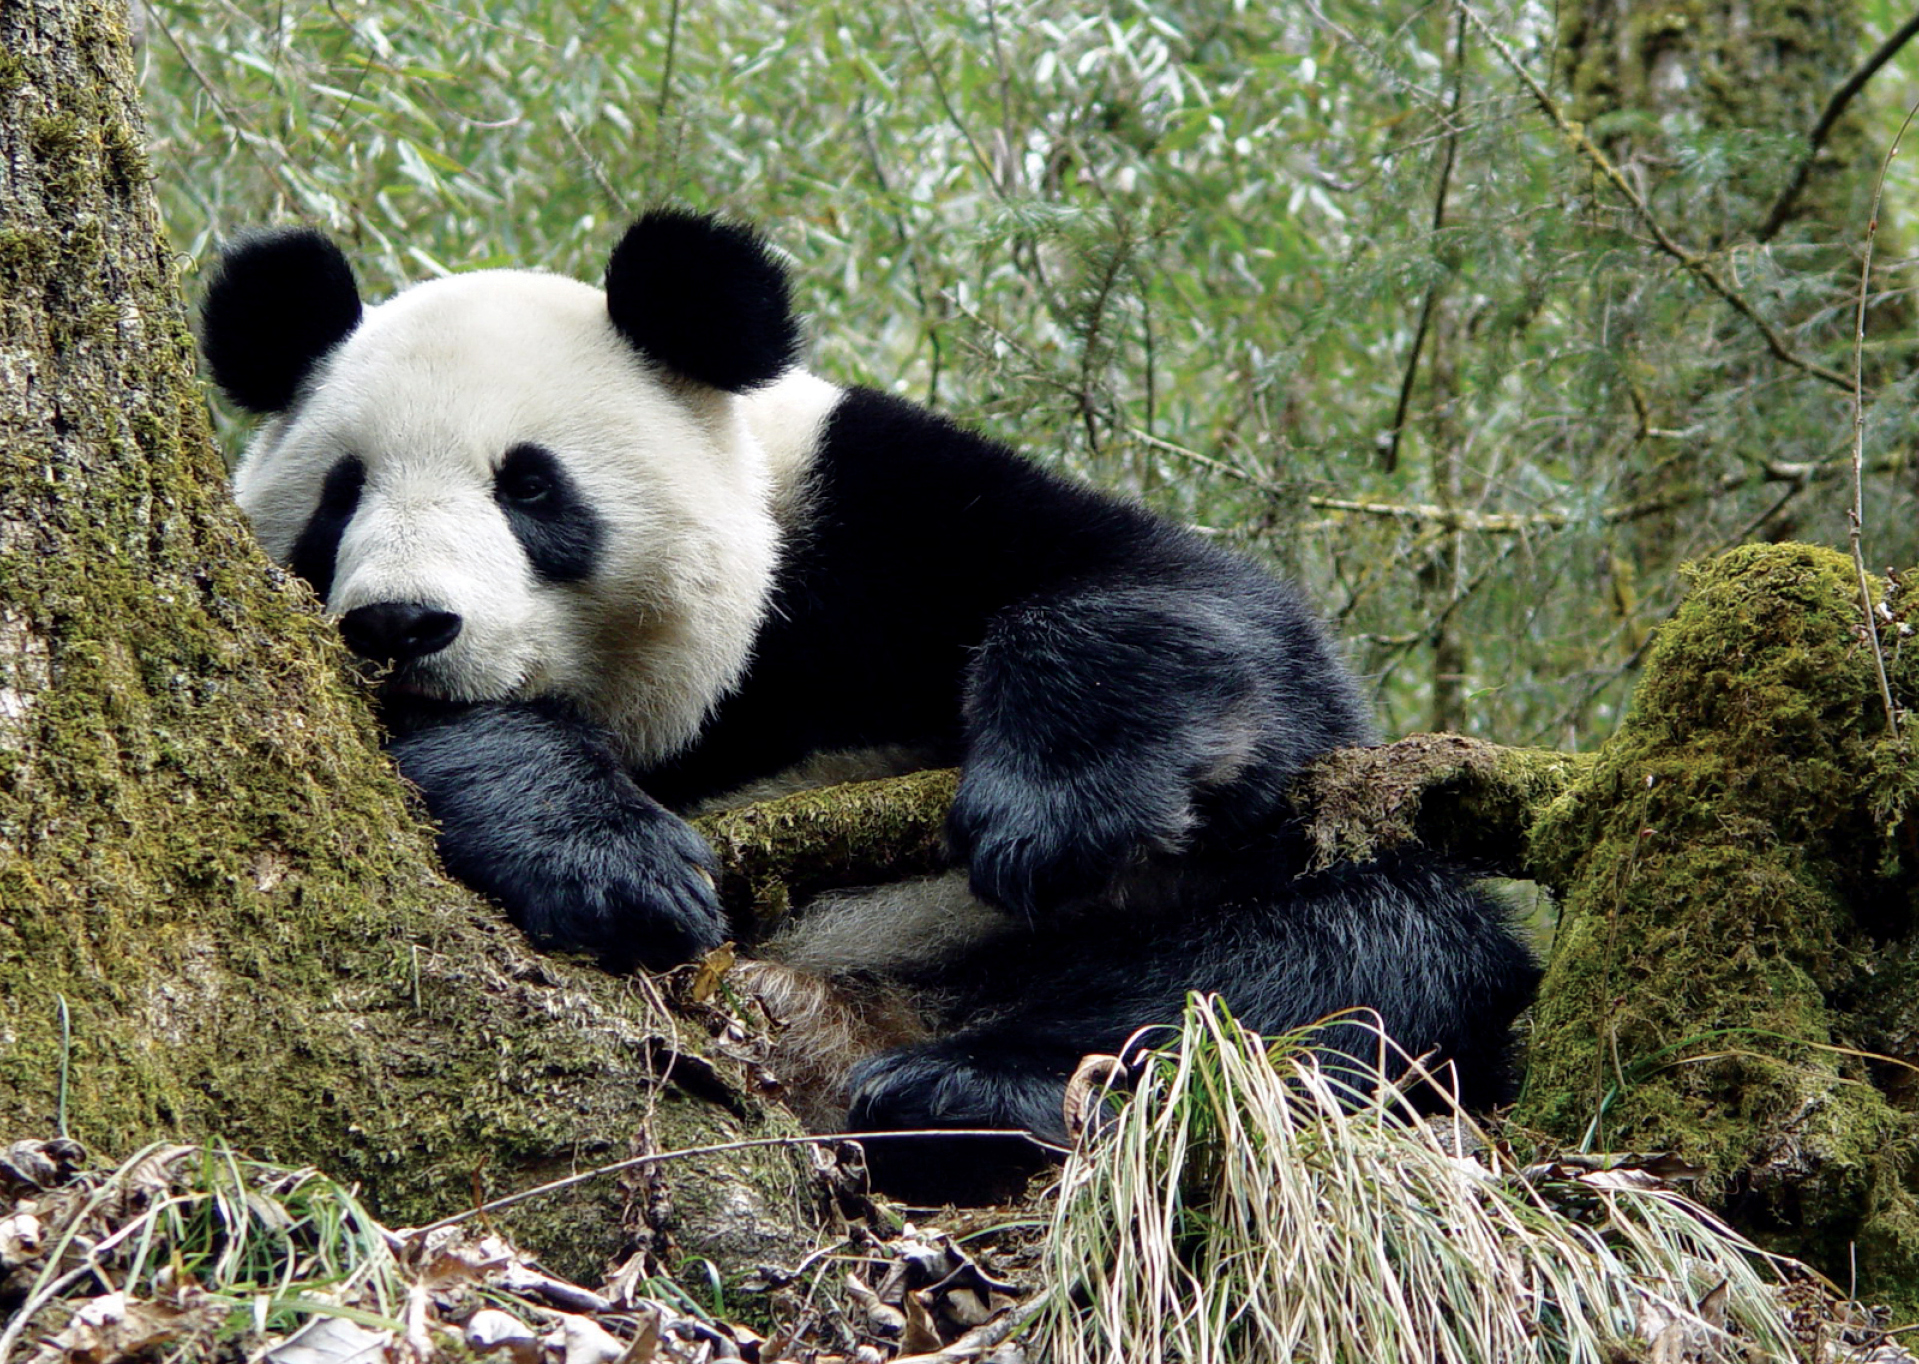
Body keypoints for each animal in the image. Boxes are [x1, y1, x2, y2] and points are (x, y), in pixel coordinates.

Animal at [202, 208, 1535, 1197]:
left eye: (530, 487)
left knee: (1347, 956)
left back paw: (973, 1090)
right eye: (340, 497)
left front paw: (1054, 805)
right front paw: (609, 860)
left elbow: (1206, 617)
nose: (401, 624)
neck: (710, 710)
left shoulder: (862, 503)